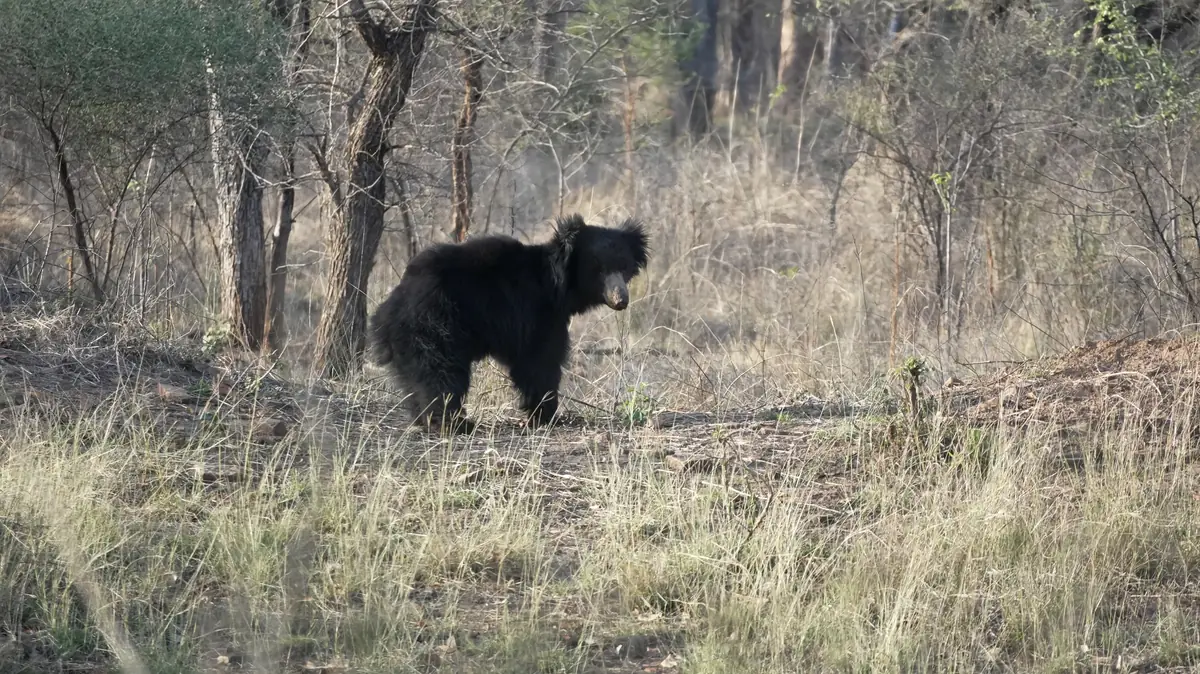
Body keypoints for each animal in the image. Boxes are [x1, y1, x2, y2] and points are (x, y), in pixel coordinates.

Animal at [370, 213, 650, 434]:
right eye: (598, 269)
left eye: (624, 266)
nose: (621, 299)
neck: (558, 287)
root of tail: (389, 307)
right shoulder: (536, 315)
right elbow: (540, 361)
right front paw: (546, 414)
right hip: (435, 325)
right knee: (440, 373)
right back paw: (452, 422)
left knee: (416, 378)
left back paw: (425, 419)